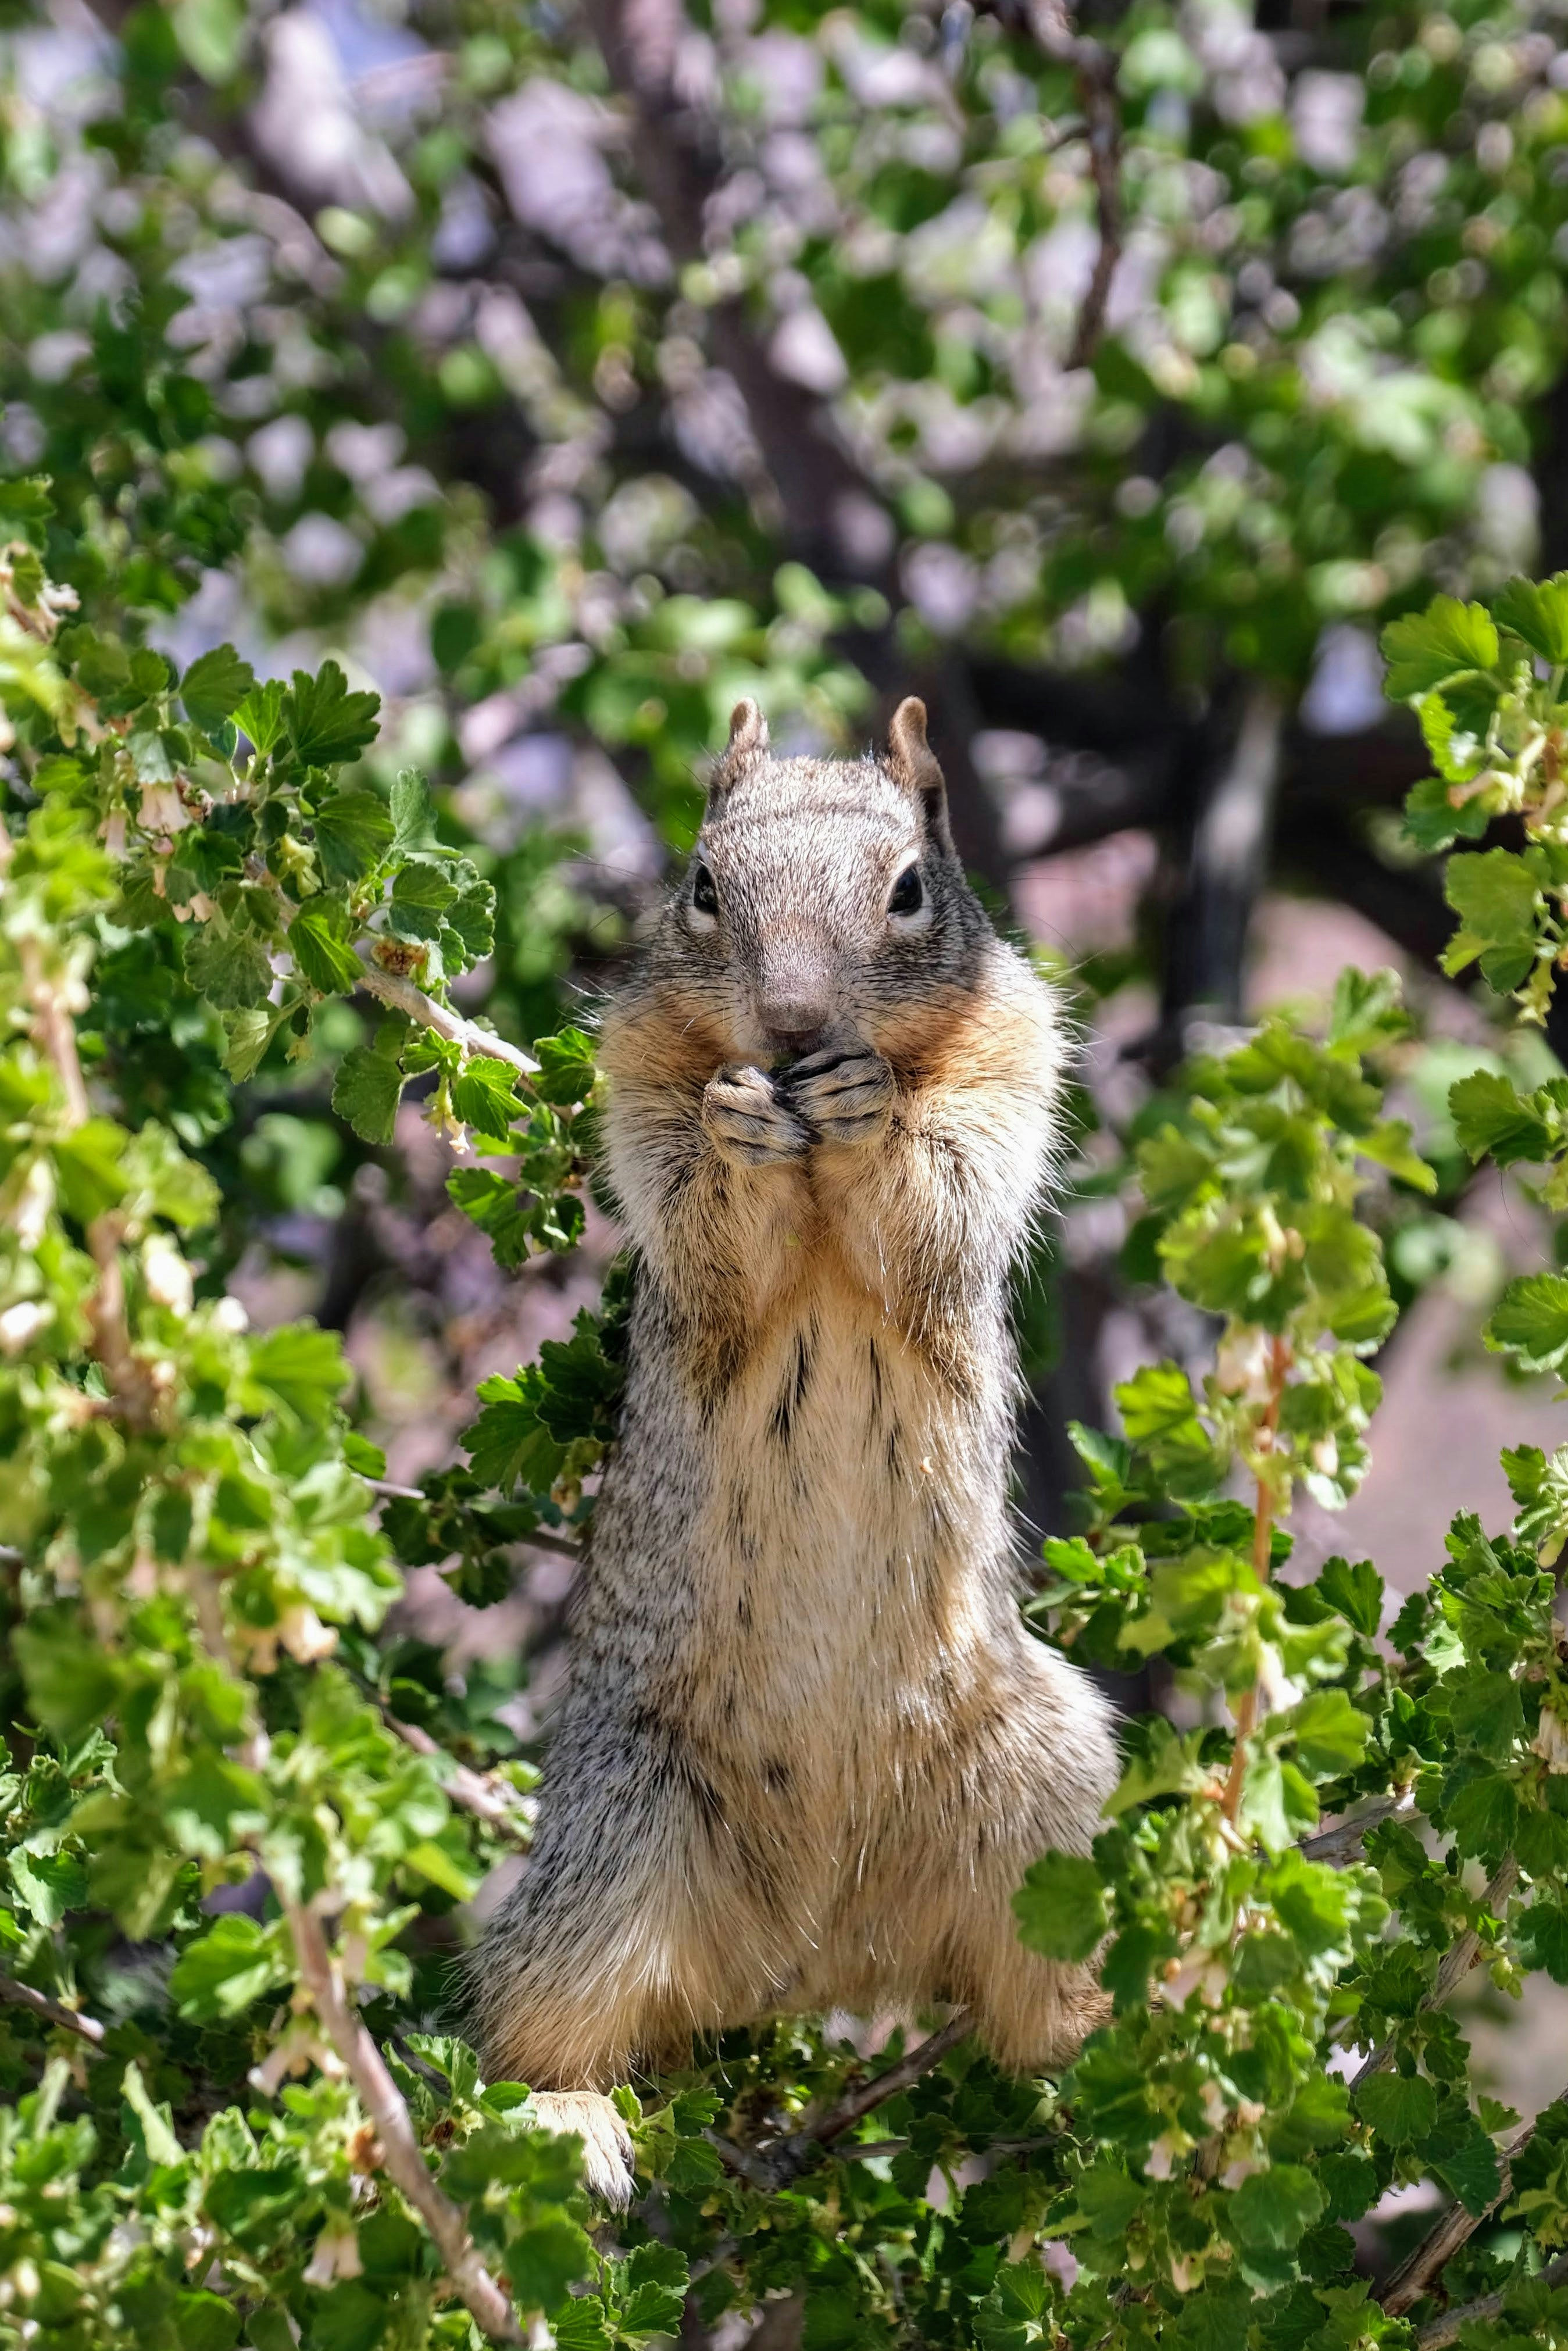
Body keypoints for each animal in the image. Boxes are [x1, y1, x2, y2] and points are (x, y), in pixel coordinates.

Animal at [473, 697, 1119, 2202]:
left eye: (910, 890)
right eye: (703, 886)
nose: (793, 1021)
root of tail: (818, 1953)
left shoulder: (1015, 1060)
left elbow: (944, 1187)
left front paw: (869, 1099)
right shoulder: (641, 1079)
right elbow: (702, 1216)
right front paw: (743, 1126)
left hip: (1047, 1790)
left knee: (1032, 1999)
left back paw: (1110, 2060)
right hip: (614, 1833)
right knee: (541, 2015)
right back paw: (566, 2120)